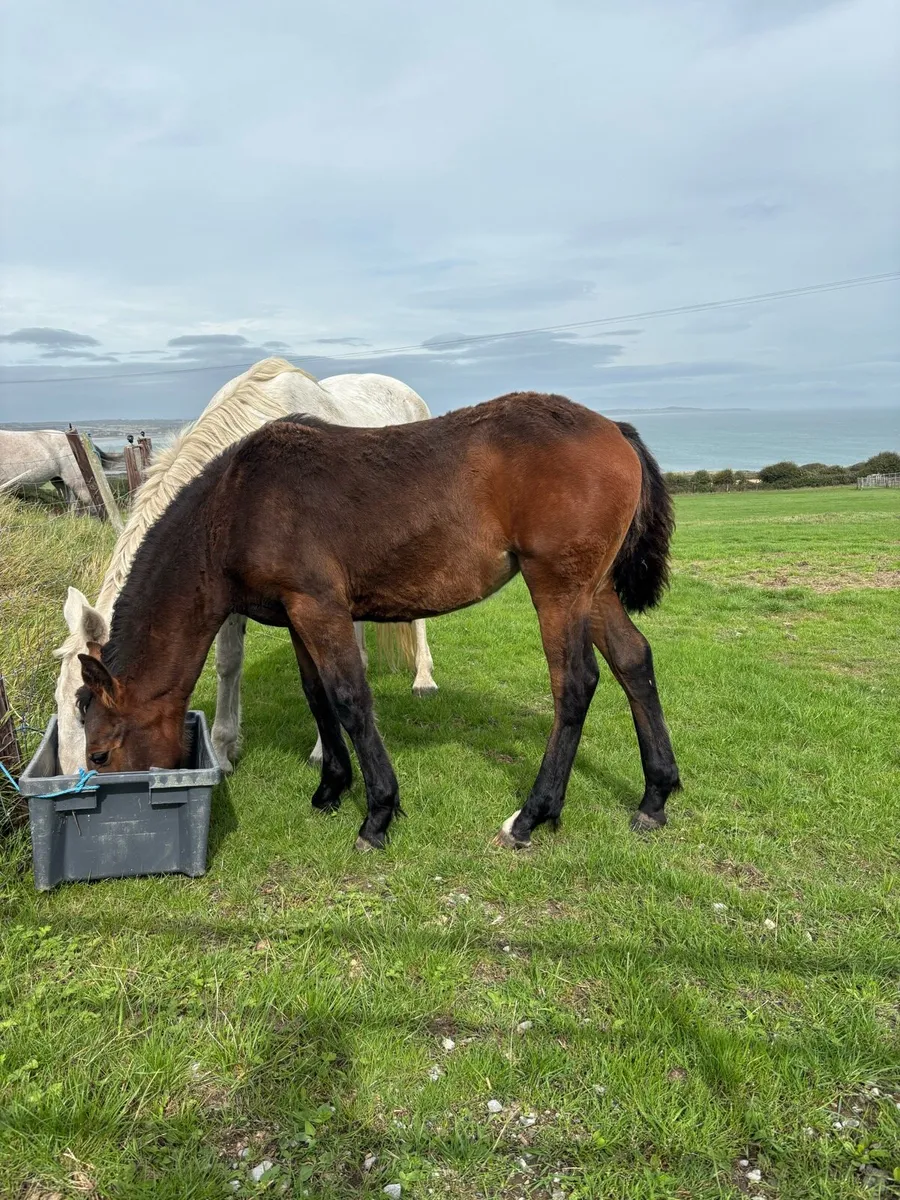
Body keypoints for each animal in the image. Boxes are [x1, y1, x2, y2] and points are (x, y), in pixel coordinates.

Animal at [54, 357, 439, 775]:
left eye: (83, 709)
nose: (70, 781)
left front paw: (321, 750)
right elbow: (228, 663)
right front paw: (223, 750)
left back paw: (423, 679)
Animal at [76, 391, 681, 853]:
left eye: (99, 754)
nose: (109, 819)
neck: (235, 505)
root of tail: (613, 429)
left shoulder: (319, 606)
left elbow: (350, 698)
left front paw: (378, 813)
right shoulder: (297, 615)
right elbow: (317, 696)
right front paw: (330, 788)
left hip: (558, 588)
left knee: (575, 684)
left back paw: (531, 815)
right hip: (593, 591)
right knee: (634, 662)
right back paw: (654, 798)